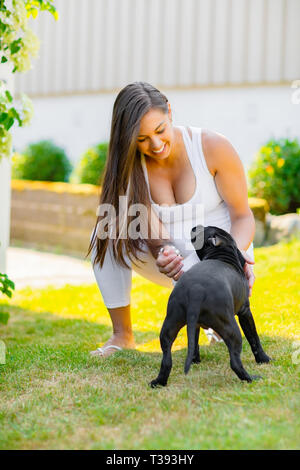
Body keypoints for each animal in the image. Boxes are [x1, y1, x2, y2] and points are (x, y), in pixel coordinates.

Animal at [151, 226, 270, 388]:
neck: (222, 255)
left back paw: (158, 382)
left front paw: (195, 360)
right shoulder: (245, 312)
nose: (194, 227)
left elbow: (194, 342)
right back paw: (251, 378)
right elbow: (254, 338)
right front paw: (264, 359)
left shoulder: (194, 324)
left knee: (166, 360)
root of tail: (196, 291)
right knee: (235, 362)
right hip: (231, 328)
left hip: (170, 325)